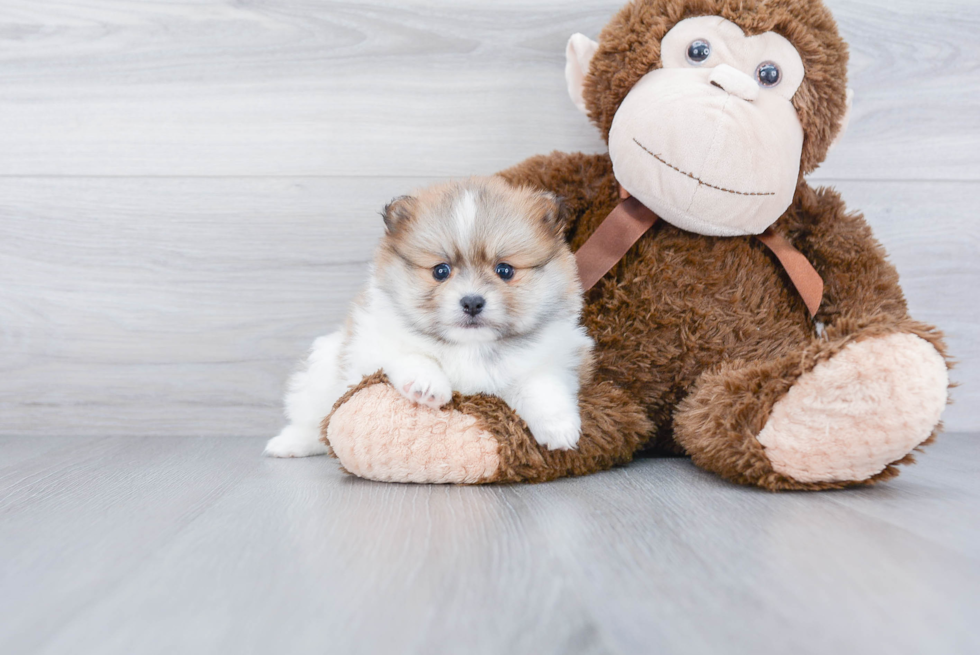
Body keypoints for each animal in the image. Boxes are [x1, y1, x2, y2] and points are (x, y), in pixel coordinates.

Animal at [264, 177, 592, 458]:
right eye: (440, 271)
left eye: (505, 270)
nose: (472, 302)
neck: (469, 347)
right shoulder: (371, 343)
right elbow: (411, 355)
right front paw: (427, 384)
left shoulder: (555, 356)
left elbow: (541, 385)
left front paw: (559, 427)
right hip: (321, 370)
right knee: (314, 421)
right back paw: (288, 443)